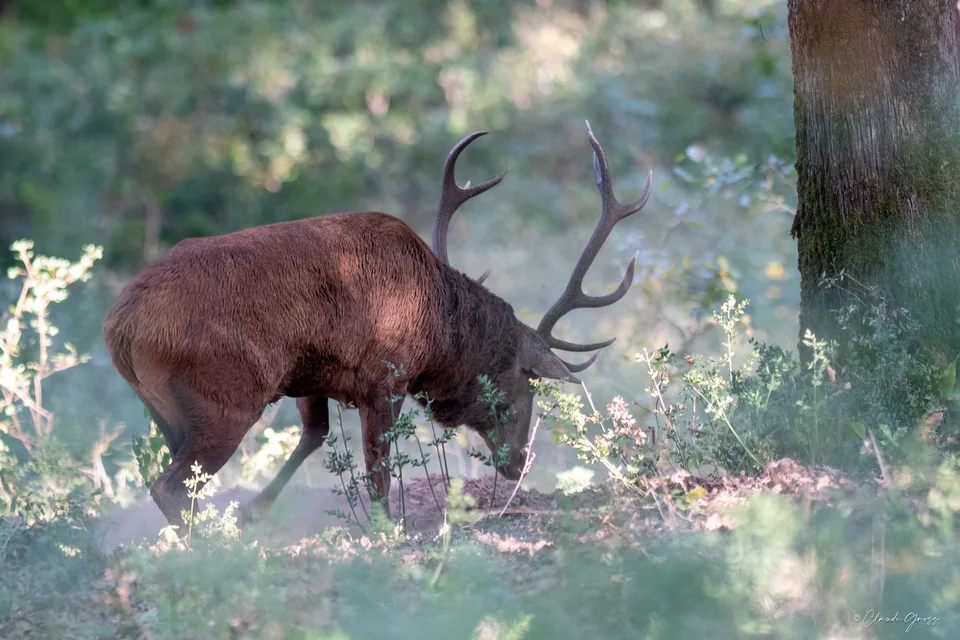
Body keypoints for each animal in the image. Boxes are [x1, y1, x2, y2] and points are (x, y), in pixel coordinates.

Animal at [102, 121, 652, 529]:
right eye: (523, 384)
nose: (518, 463)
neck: (439, 330)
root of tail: (119, 327)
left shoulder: (311, 374)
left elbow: (316, 434)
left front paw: (255, 511)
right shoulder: (384, 376)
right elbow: (378, 472)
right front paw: (388, 531)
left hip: (164, 411)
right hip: (225, 400)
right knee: (169, 487)